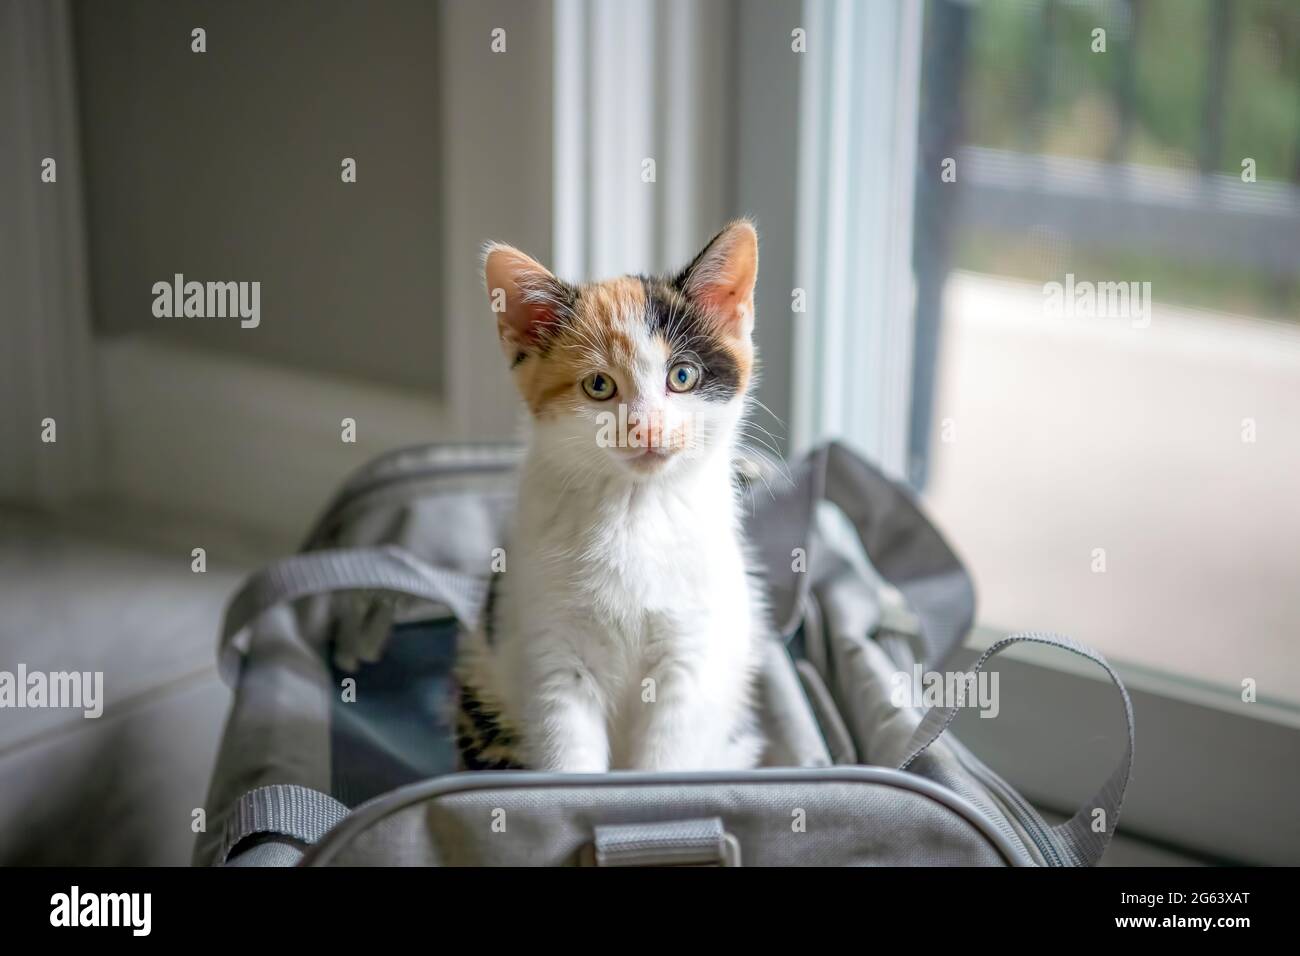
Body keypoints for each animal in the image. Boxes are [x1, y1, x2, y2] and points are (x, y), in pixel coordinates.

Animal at [454, 221, 764, 775]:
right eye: (599, 385)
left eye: (682, 376)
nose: (647, 428)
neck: (634, 509)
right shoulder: (552, 655)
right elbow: (568, 755)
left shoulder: (692, 655)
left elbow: (667, 760)